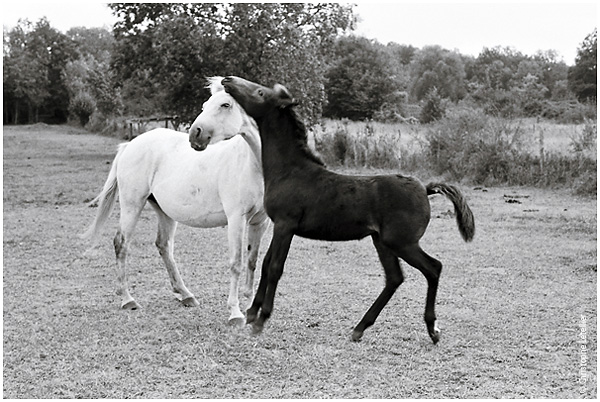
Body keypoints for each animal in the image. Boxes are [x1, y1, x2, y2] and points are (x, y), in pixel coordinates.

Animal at [82, 77, 268, 326]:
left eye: (225, 104)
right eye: (205, 104)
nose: (195, 134)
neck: (251, 164)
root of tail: (130, 145)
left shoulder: (260, 222)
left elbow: (252, 261)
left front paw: (249, 308)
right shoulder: (236, 219)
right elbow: (236, 263)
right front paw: (235, 313)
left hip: (164, 212)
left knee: (164, 246)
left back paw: (185, 294)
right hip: (132, 205)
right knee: (121, 243)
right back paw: (128, 300)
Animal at [218, 75, 476, 342]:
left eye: (260, 92)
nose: (228, 80)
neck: (290, 171)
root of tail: (425, 189)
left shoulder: (285, 225)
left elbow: (275, 267)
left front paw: (261, 320)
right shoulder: (280, 226)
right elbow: (267, 263)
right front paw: (251, 313)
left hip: (402, 242)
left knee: (433, 268)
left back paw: (432, 329)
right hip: (382, 241)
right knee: (395, 278)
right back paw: (360, 328)